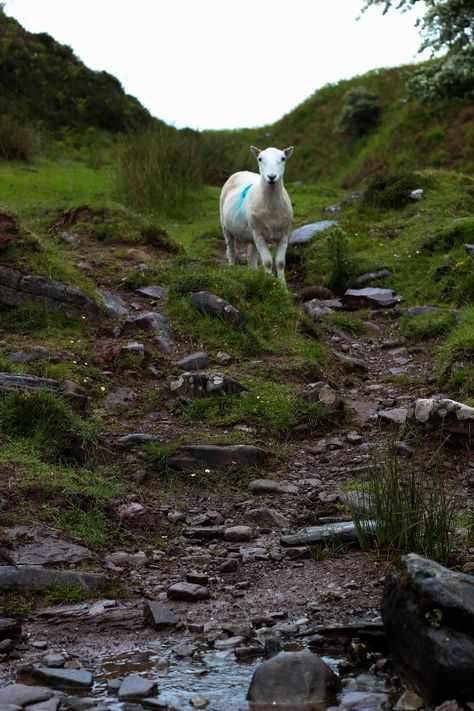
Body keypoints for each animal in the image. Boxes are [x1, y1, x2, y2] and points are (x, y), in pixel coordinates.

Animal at [220, 146, 294, 286]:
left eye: (283, 158)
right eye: (260, 159)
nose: (271, 177)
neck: (272, 209)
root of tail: (240, 172)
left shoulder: (284, 235)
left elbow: (280, 263)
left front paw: (283, 287)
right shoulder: (259, 235)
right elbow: (268, 262)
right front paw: (270, 284)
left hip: (251, 234)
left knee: (251, 257)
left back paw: (253, 275)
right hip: (226, 226)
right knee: (231, 251)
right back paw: (232, 268)